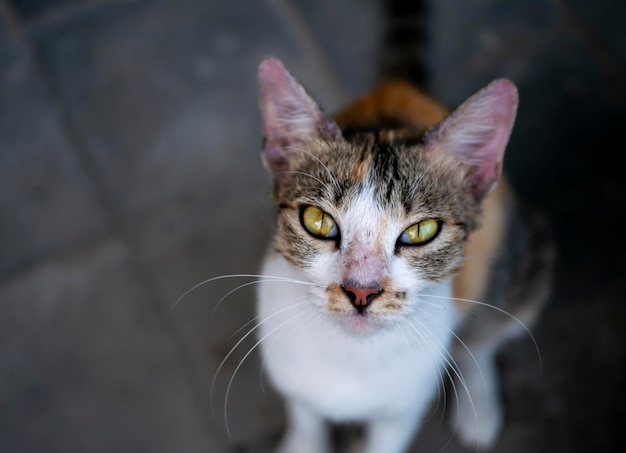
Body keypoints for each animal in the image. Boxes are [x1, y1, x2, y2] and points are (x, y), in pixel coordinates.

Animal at [254, 55, 552, 452]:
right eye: (318, 220)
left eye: (420, 232)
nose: (361, 291)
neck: (352, 355)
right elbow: (305, 416)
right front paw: (303, 444)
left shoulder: (405, 405)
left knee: (487, 333)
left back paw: (479, 407)